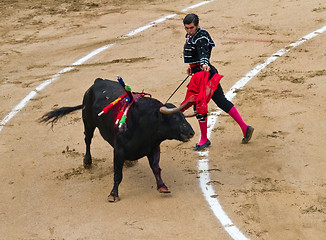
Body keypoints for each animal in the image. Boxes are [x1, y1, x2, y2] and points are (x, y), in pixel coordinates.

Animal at [40, 78, 194, 202]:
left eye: (183, 116)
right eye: (174, 118)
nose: (191, 133)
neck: (144, 124)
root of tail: (97, 81)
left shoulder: (154, 147)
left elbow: (156, 168)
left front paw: (162, 186)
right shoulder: (119, 151)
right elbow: (117, 174)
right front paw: (113, 194)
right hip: (88, 122)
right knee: (88, 139)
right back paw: (87, 161)